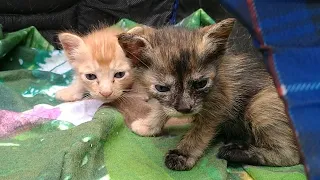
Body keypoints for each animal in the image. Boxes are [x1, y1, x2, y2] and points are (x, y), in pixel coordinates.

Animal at [117, 19, 300, 171]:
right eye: (162, 88)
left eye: (201, 84)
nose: (185, 109)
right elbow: (162, 109)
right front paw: (149, 125)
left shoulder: (218, 106)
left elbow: (199, 132)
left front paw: (183, 154)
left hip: (260, 104)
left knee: (291, 156)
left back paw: (236, 152)